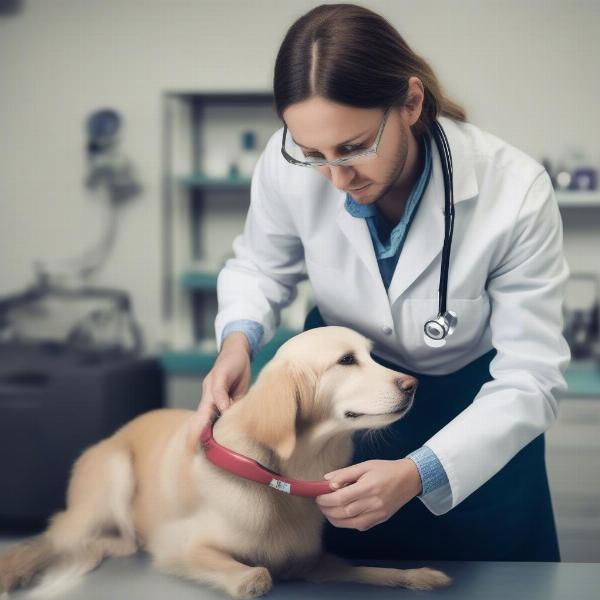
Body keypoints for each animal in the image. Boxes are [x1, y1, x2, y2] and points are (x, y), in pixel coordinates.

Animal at [0, 326, 450, 596]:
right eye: (346, 360)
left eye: (370, 355)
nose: (413, 384)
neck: (285, 479)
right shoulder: (178, 548)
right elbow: (256, 573)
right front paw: (251, 579)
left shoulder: (312, 563)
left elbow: (372, 570)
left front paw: (418, 575)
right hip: (114, 472)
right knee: (49, 540)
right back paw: (17, 570)